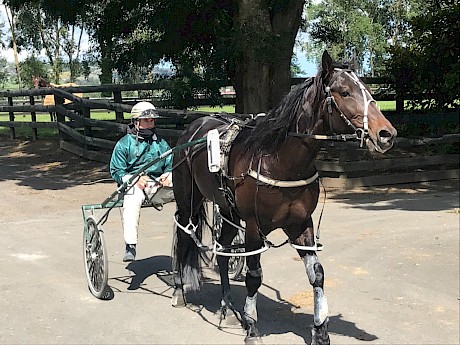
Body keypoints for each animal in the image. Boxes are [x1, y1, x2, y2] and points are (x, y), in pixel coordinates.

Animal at [171, 49, 398, 342]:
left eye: (369, 91)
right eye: (345, 92)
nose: (386, 134)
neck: (279, 160)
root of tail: (192, 128)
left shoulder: (300, 223)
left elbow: (317, 274)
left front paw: (320, 330)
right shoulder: (254, 227)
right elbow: (254, 275)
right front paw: (252, 326)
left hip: (229, 211)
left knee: (221, 252)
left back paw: (228, 308)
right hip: (188, 200)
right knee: (182, 237)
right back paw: (179, 291)